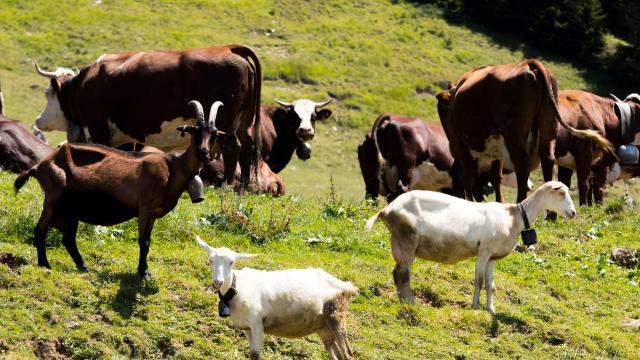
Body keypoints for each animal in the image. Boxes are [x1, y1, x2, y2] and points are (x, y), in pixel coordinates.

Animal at [13, 100, 222, 278]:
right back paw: (45, 264)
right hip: (53, 196)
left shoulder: (153, 214)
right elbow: (144, 241)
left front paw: (144, 270)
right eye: (194, 130)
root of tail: (39, 166)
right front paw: (143, 272)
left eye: (214, 134)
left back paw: (83, 266)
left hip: (71, 208)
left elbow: (148, 240)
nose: (203, 153)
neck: (174, 167)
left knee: (68, 238)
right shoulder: (145, 208)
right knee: (40, 230)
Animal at [31, 43, 262, 187]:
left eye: (47, 94)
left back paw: (226, 186)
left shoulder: (98, 128)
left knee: (232, 148)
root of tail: (229, 49)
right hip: (243, 123)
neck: (82, 85)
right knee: (246, 149)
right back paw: (242, 188)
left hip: (224, 124)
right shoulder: (124, 136)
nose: (38, 120)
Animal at [196, 236, 356, 360]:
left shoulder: (257, 323)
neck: (238, 288)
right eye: (211, 261)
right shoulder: (247, 328)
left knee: (347, 355)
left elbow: (255, 355)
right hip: (323, 326)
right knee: (337, 355)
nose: (218, 282)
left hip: (336, 315)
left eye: (232, 262)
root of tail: (347, 286)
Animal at [364, 181, 580, 314]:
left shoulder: (492, 257)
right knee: (403, 273)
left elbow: (491, 284)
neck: (514, 217)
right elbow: (479, 281)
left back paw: (404, 300)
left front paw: (491, 309)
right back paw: (410, 302)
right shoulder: (484, 251)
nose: (573, 213)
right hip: (408, 239)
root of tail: (387, 209)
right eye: (561, 193)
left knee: (396, 272)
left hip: (400, 243)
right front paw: (475, 305)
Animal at [436, 60, 616, 204]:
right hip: (547, 130)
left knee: (522, 165)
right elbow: (495, 177)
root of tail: (528, 64)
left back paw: (520, 201)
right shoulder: (496, 149)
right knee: (548, 160)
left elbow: (468, 174)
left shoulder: (458, 143)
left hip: (514, 136)